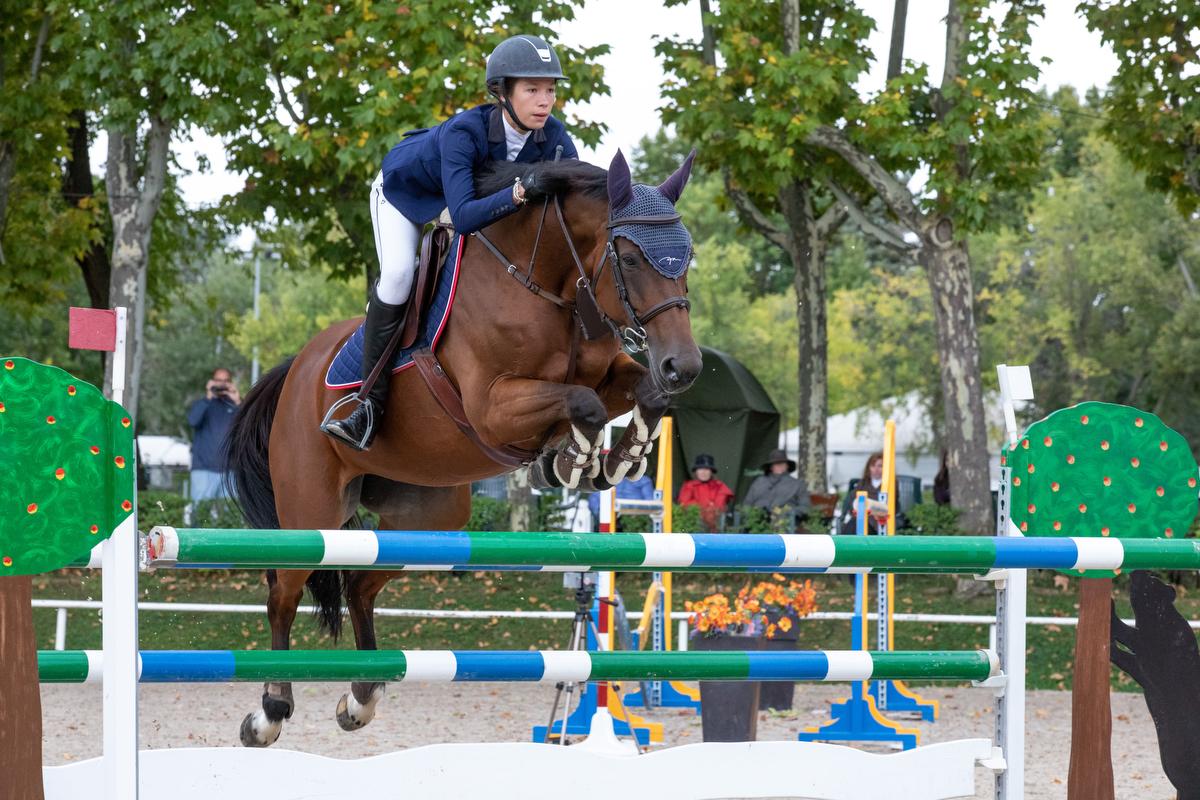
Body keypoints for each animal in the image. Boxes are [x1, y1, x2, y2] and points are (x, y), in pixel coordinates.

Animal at [225, 146, 700, 748]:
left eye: (688, 256)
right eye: (632, 259)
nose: (685, 367)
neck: (551, 286)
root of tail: (296, 369)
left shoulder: (606, 373)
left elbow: (637, 393)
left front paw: (615, 456)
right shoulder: (493, 407)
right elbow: (583, 403)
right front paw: (572, 460)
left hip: (427, 517)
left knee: (359, 585)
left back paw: (361, 698)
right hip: (311, 508)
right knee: (282, 592)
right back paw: (269, 711)